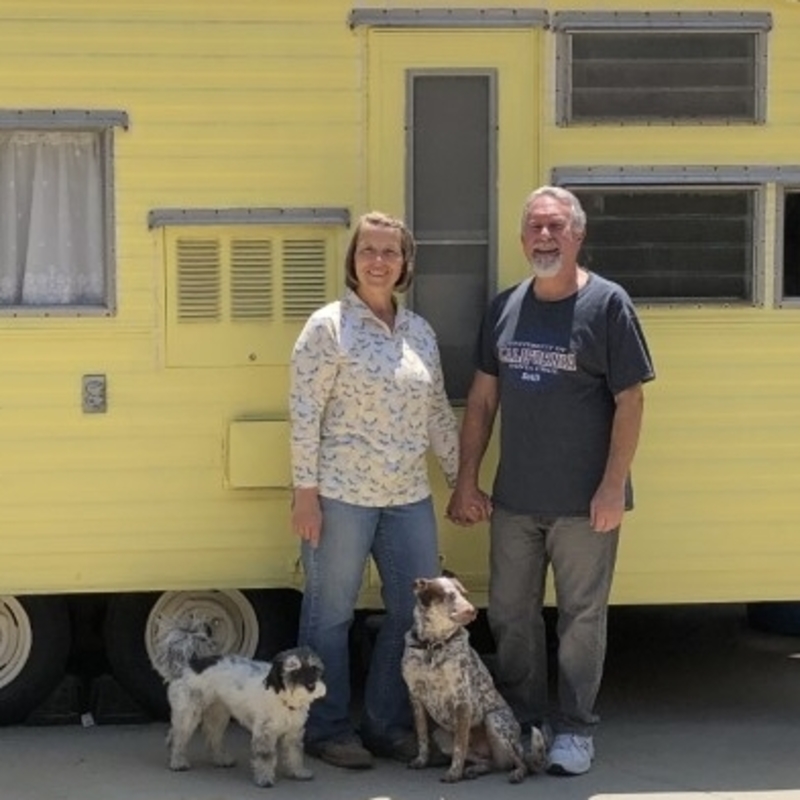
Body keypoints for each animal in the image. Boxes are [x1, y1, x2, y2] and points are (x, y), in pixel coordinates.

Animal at [150, 612, 324, 788]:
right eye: (294, 671)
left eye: (314, 669)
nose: (312, 686)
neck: (284, 699)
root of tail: (188, 664)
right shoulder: (264, 733)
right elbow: (265, 757)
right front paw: (265, 779)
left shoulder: (294, 734)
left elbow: (295, 755)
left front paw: (299, 772)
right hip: (188, 714)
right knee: (177, 737)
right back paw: (178, 761)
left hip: (217, 715)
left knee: (212, 737)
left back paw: (221, 759)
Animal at [400, 576, 544, 780]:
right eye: (448, 595)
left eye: (464, 594)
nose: (472, 610)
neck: (433, 645)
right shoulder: (415, 697)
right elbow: (422, 737)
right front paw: (421, 761)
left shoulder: (462, 700)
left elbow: (460, 745)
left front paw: (453, 773)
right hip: (442, 736)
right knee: (490, 763)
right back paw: (475, 770)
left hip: (495, 722)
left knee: (520, 762)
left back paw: (517, 773)